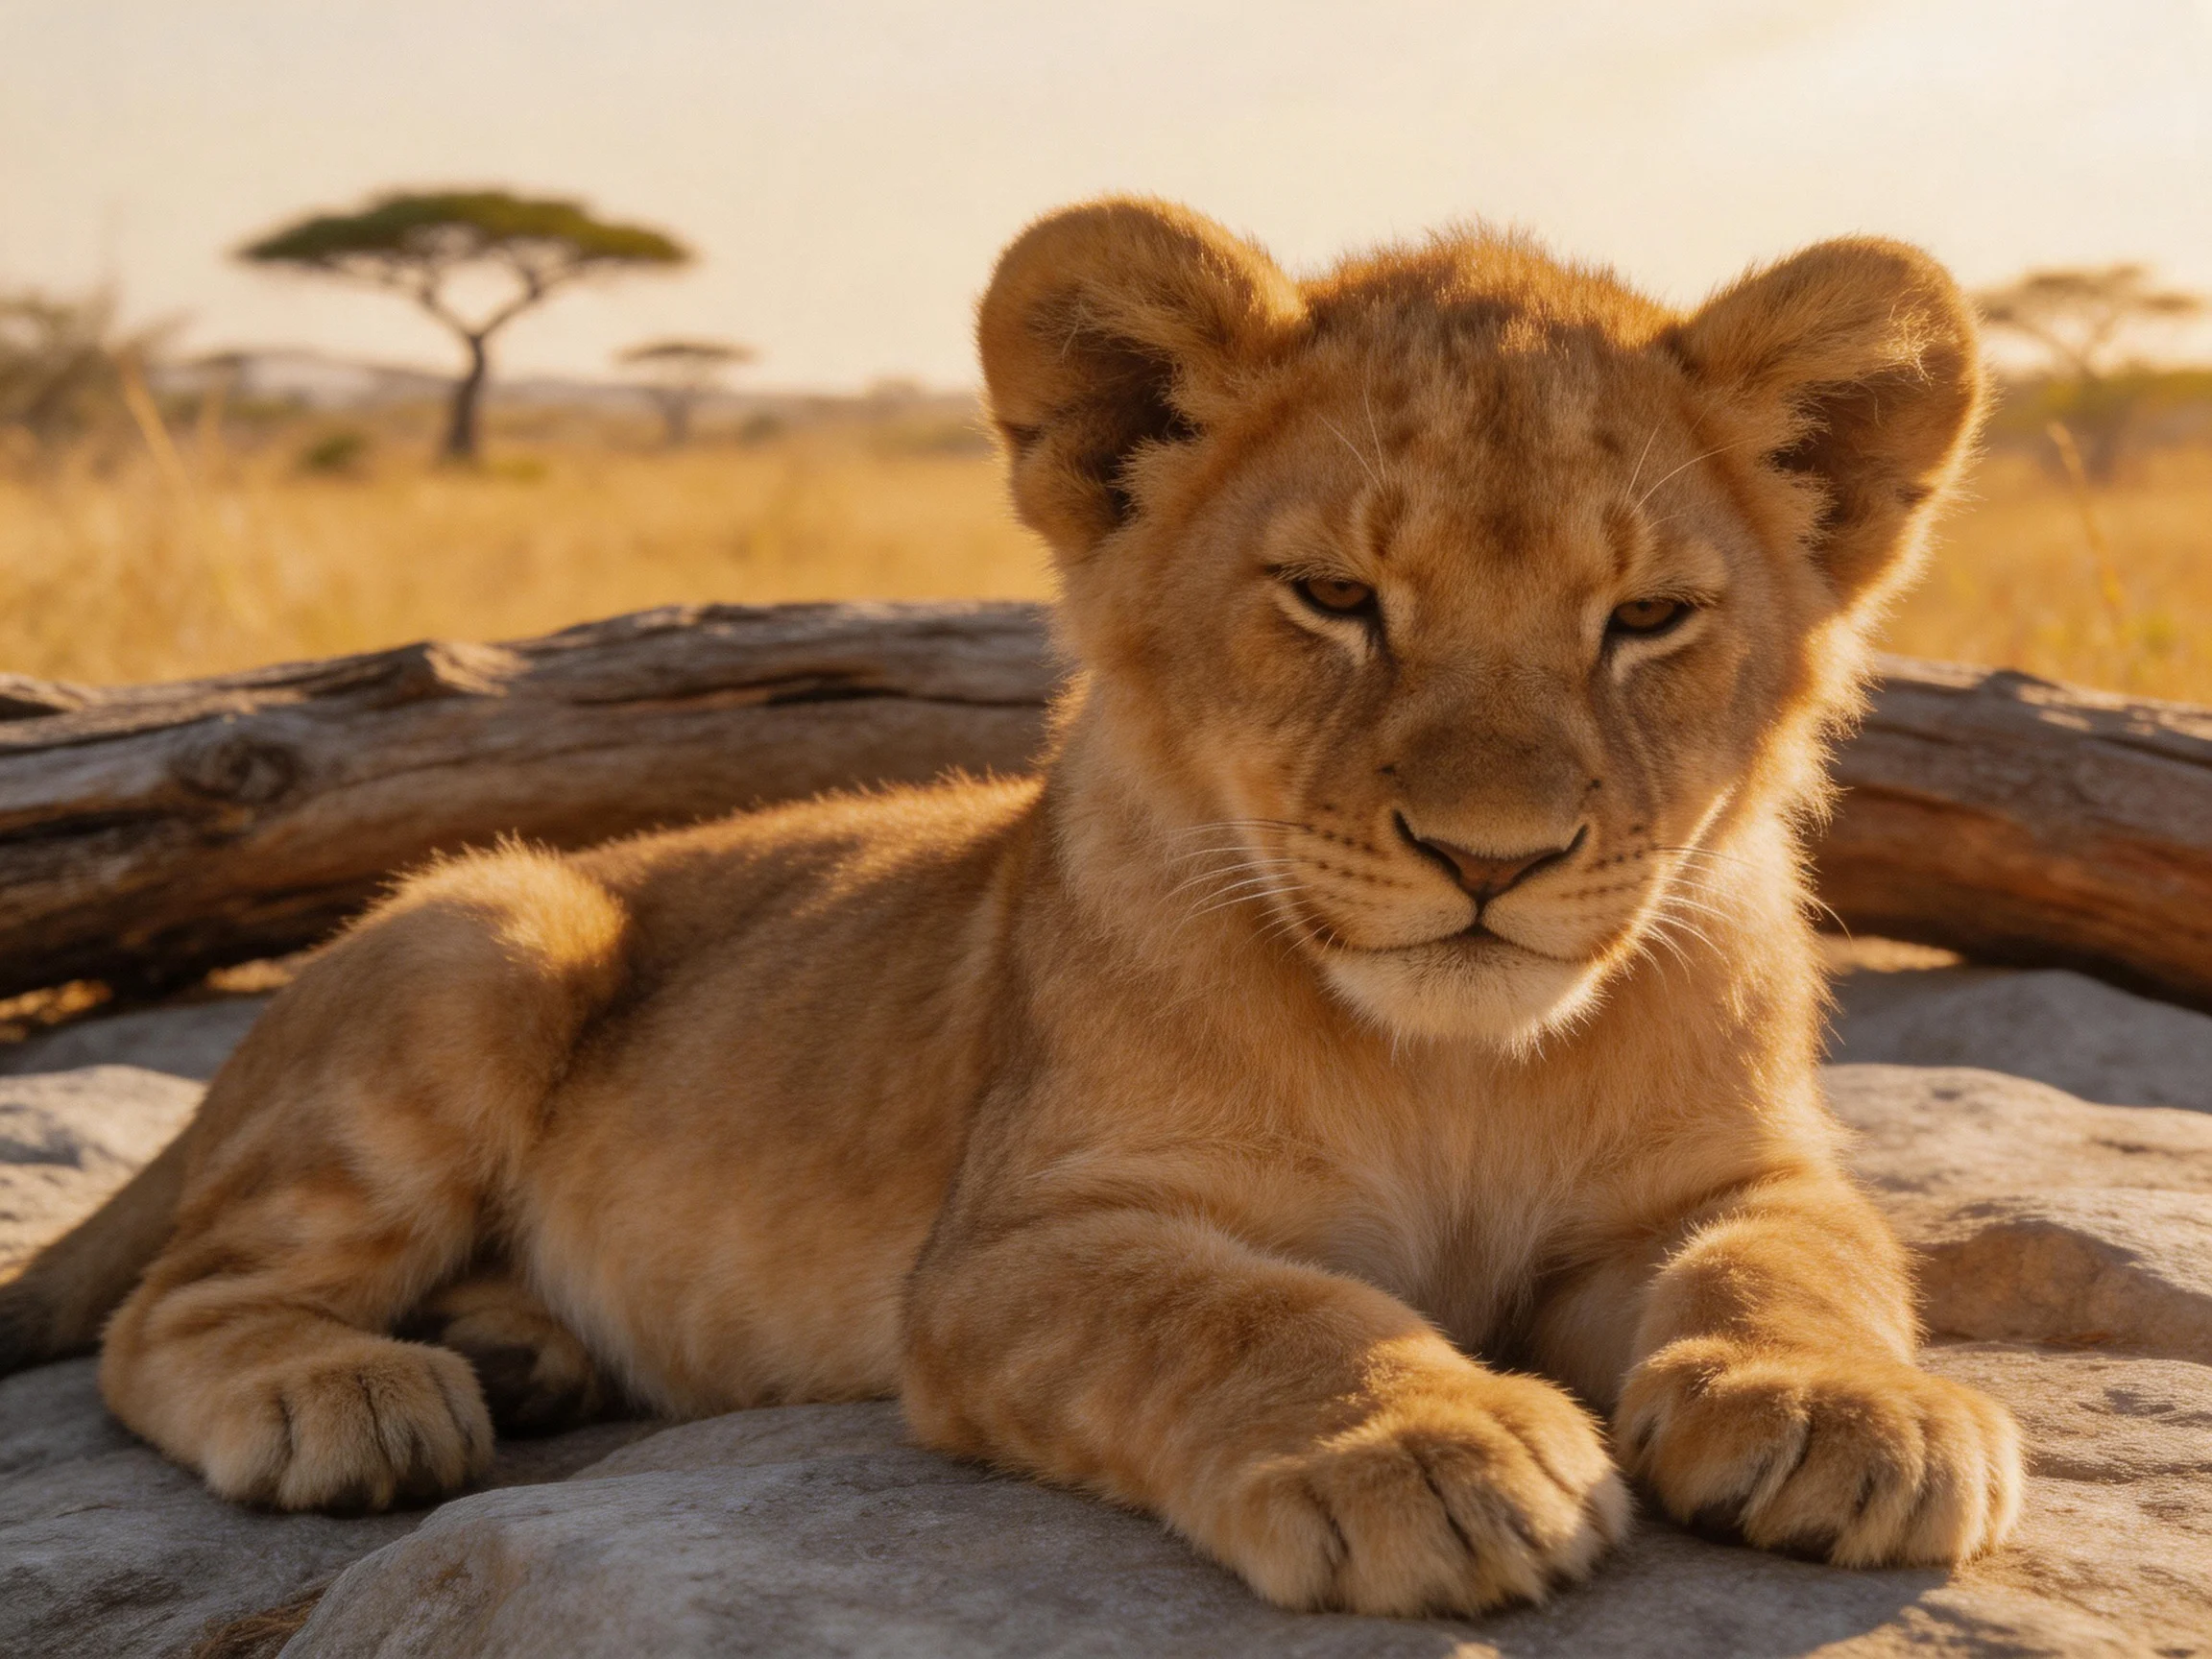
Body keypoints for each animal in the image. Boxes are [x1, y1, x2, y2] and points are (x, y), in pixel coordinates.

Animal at [0, 198, 2021, 1618]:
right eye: (1332, 597)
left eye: (1644, 620)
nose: (1489, 855)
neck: (1458, 1065)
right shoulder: (1012, 1251)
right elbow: (1254, 1311)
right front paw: (1426, 1438)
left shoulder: (1728, 1171)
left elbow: (1795, 1258)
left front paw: (1851, 1410)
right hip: (484, 928)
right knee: (162, 1312)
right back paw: (357, 1391)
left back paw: (518, 1345)